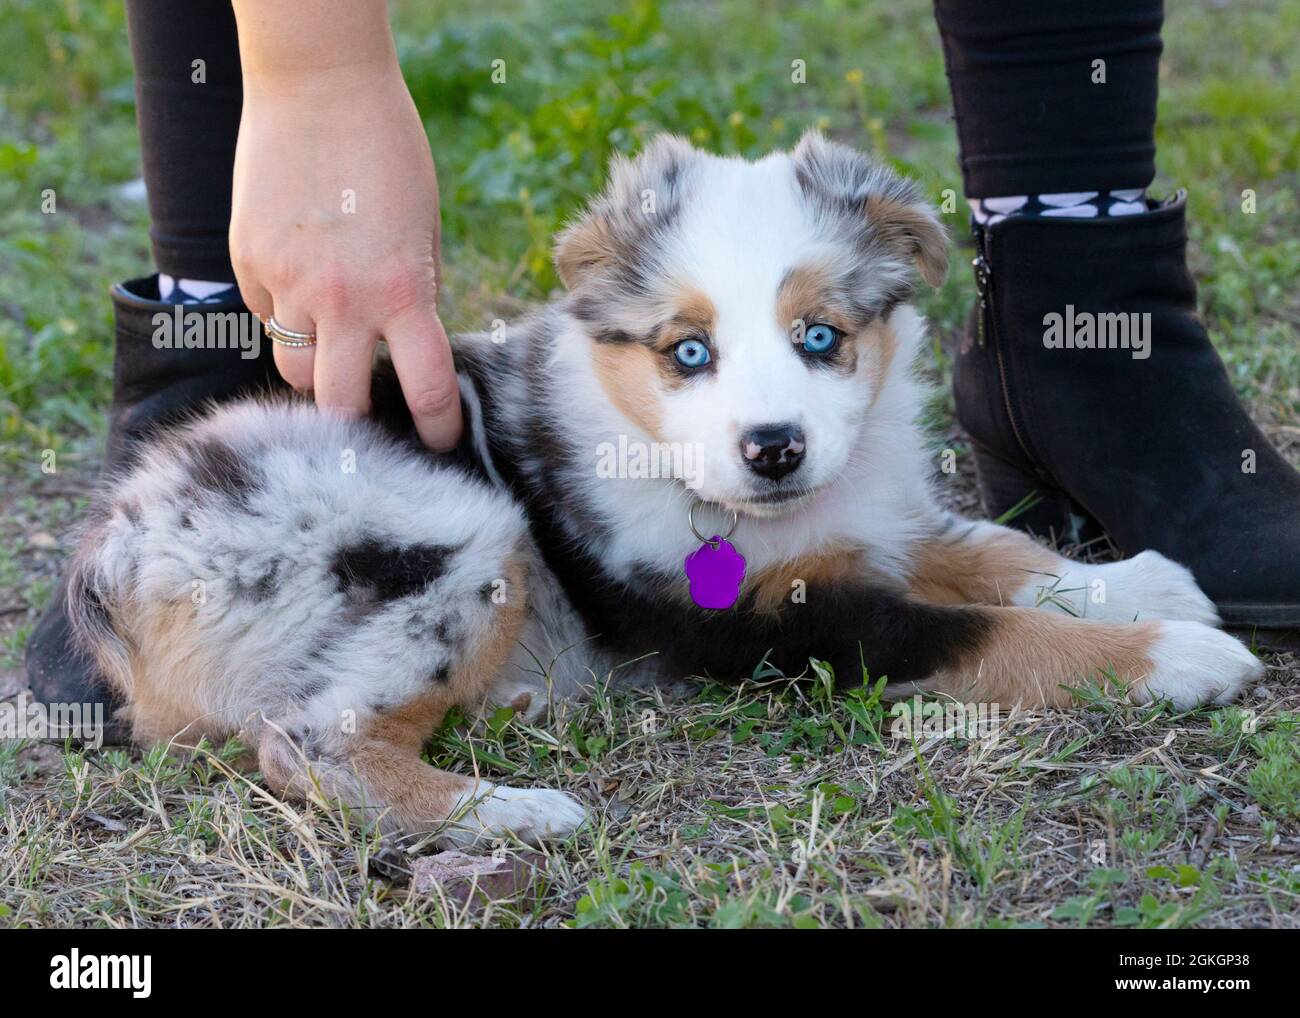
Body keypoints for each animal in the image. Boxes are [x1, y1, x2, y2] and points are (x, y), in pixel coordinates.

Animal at [65, 133, 1263, 842]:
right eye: (687, 351)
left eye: (820, 336)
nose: (774, 447)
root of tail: (115, 556)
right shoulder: (772, 626)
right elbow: (984, 630)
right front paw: (1172, 657)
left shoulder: (867, 515)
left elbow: (988, 548)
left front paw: (1139, 582)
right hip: (460, 531)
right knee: (310, 740)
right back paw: (514, 810)